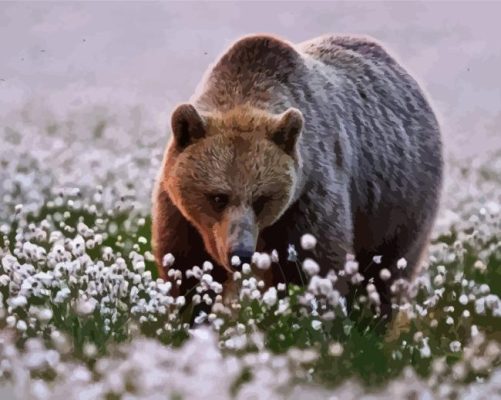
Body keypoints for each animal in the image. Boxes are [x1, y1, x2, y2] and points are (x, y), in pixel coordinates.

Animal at [151, 33, 442, 316]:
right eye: (218, 197)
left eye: (261, 199)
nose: (240, 254)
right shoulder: (180, 213)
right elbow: (186, 267)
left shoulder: (308, 198)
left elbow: (314, 265)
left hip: (399, 204)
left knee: (386, 273)